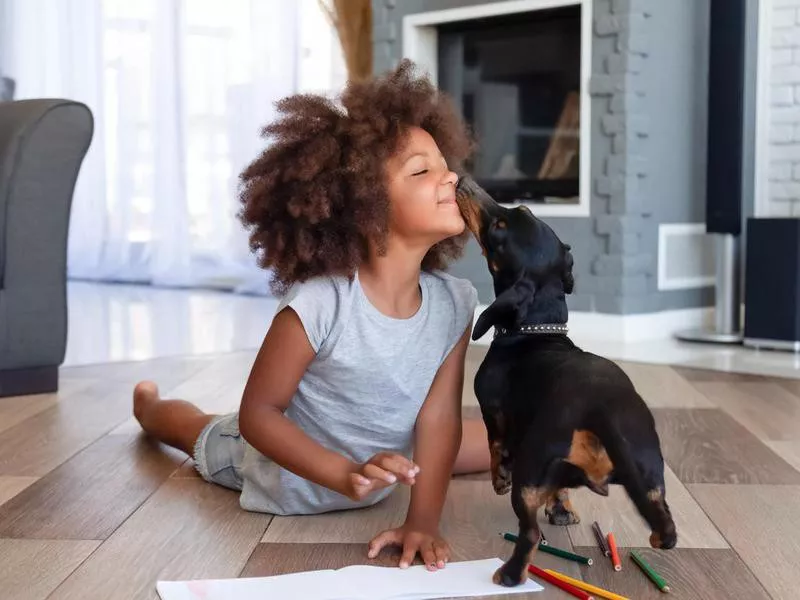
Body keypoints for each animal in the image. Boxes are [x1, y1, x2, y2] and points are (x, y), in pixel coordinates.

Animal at [456, 173, 676, 584]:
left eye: (500, 226)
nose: (463, 181)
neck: (538, 330)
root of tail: (599, 412)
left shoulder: (493, 412)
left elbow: (495, 446)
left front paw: (498, 478)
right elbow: (560, 491)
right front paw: (563, 511)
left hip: (529, 475)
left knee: (528, 533)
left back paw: (510, 574)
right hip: (650, 471)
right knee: (665, 523)